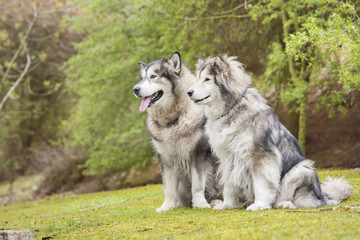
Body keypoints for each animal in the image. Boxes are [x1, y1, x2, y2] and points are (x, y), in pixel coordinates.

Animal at [133, 52, 221, 212]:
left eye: (153, 76)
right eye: (141, 78)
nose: (135, 89)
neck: (171, 121)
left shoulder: (197, 154)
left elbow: (197, 185)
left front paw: (200, 203)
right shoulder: (165, 158)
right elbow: (168, 187)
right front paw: (167, 206)